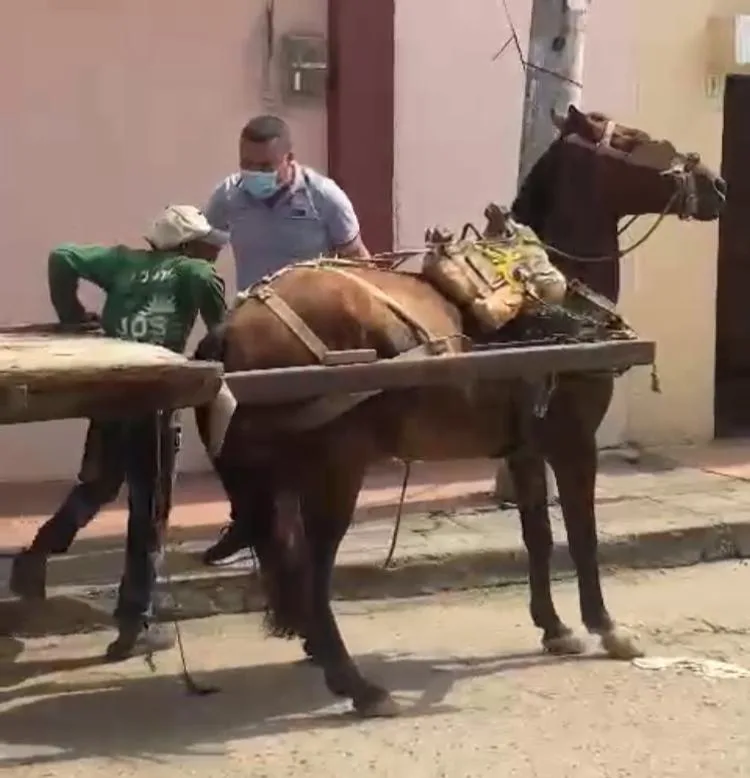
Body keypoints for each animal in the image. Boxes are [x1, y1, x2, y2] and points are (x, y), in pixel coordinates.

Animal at [193, 107, 726, 718]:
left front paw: (554, 627)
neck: (548, 300)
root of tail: (235, 327)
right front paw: (606, 627)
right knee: (313, 568)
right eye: (635, 140)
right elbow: (583, 534)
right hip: (334, 468)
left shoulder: (524, 449)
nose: (717, 184)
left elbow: (538, 533)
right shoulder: (573, 441)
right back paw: (356, 682)